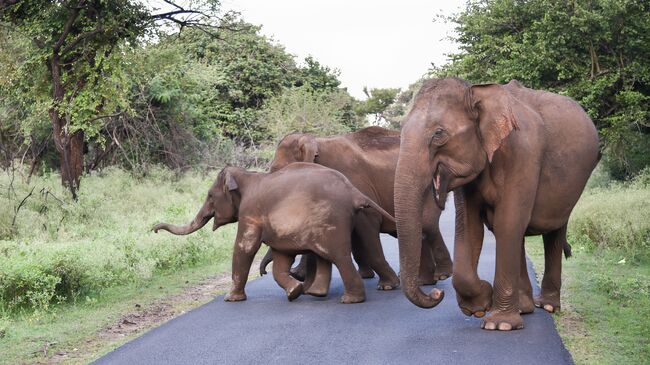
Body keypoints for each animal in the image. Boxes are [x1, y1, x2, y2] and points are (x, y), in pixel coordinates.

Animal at [153, 164, 394, 302]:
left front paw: (231, 299)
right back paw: (317, 294)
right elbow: (280, 258)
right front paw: (294, 292)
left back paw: (351, 300)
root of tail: (353, 191)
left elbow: (245, 247)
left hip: (331, 221)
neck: (246, 176)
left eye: (210, 196)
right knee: (325, 255)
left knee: (338, 256)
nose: (154, 229)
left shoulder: (250, 211)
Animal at [260, 126, 454, 286]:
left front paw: (388, 285)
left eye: (278, 171)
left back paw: (437, 276)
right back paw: (423, 279)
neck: (315, 141)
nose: (262, 273)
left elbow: (367, 224)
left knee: (427, 225)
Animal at [390, 77, 596, 330]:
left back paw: (547, 307)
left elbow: (508, 222)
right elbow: (469, 228)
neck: (475, 93)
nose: (437, 293)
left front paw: (499, 324)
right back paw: (524, 307)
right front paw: (479, 307)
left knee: (552, 232)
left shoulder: (523, 153)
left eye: (438, 133)